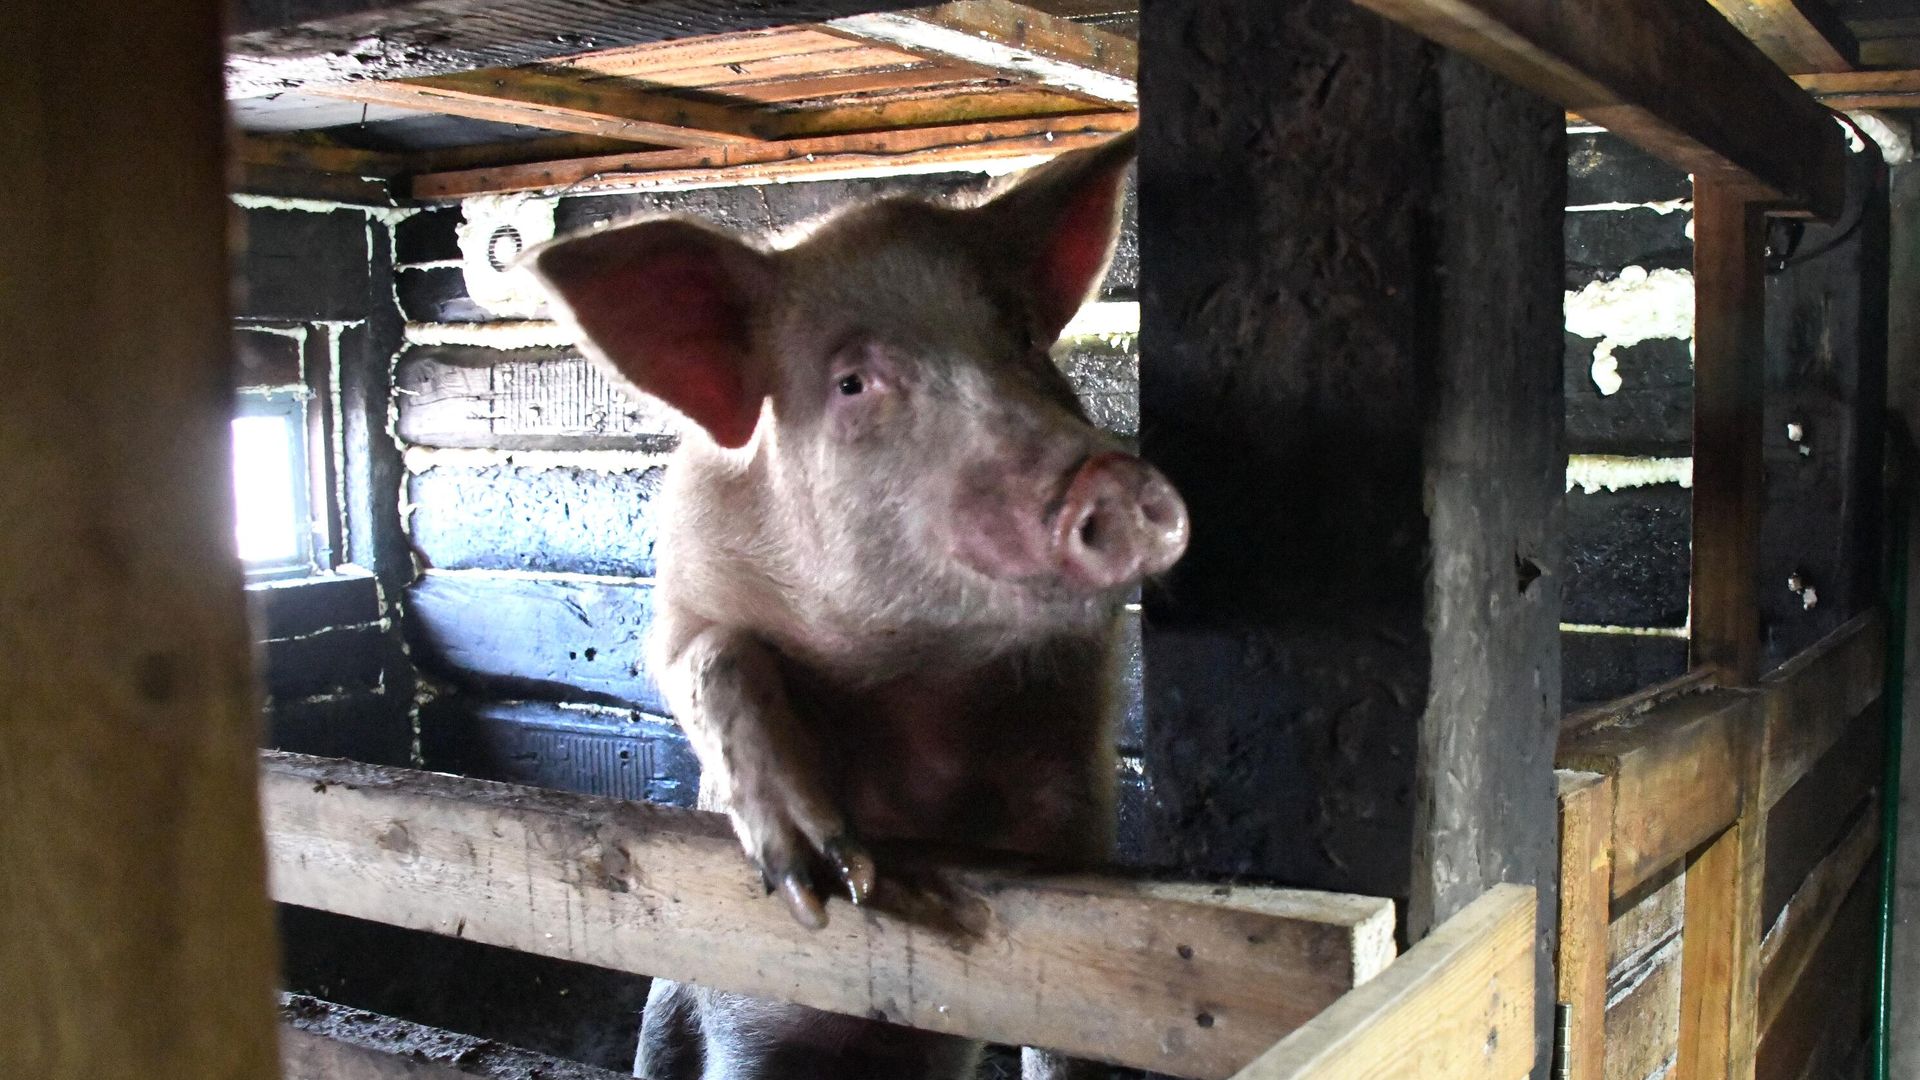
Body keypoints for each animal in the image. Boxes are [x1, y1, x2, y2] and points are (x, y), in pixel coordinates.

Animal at [526, 131, 1187, 1080]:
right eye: (851, 384)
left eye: (1024, 339)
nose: (1113, 480)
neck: (914, 669)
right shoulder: (678, 600)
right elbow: (711, 658)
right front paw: (827, 879)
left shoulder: (1074, 718)